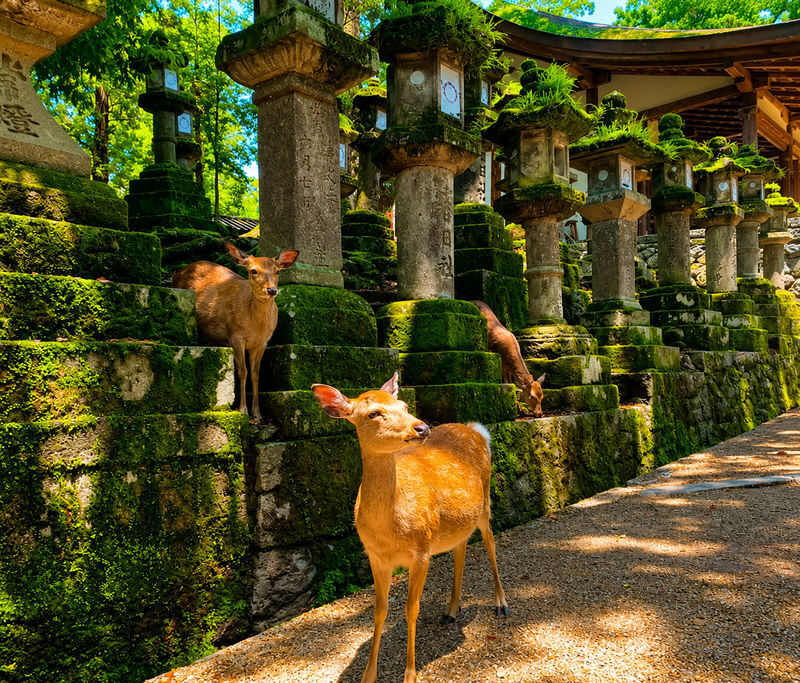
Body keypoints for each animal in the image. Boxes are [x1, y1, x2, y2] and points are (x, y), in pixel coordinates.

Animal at [172, 242, 299, 424]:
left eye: (278, 271)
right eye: (253, 270)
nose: (272, 290)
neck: (256, 326)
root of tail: (178, 271)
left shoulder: (262, 343)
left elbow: (255, 374)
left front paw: (257, 414)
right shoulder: (236, 336)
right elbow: (242, 371)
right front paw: (243, 410)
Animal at [311, 373, 508, 683]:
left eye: (404, 405)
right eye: (373, 413)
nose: (421, 427)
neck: (389, 531)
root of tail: (475, 429)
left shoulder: (421, 550)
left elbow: (411, 610)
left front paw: (410, 675)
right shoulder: (375, 556)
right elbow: (380, 611)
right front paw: (368, 675)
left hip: (486, 499)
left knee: (490, 541)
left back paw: (501, 604)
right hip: (459, 519)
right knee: (461, 545)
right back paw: (451, 610)